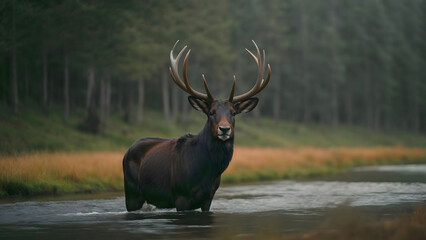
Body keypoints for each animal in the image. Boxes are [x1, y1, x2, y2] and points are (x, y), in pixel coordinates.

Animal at [121, 40, 272, 211]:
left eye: (233, 113)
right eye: (211, 112)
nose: (224, 129)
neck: (207, 173)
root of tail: (127, 150)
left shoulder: (208, 198)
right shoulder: (180, 196)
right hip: (131, 191)